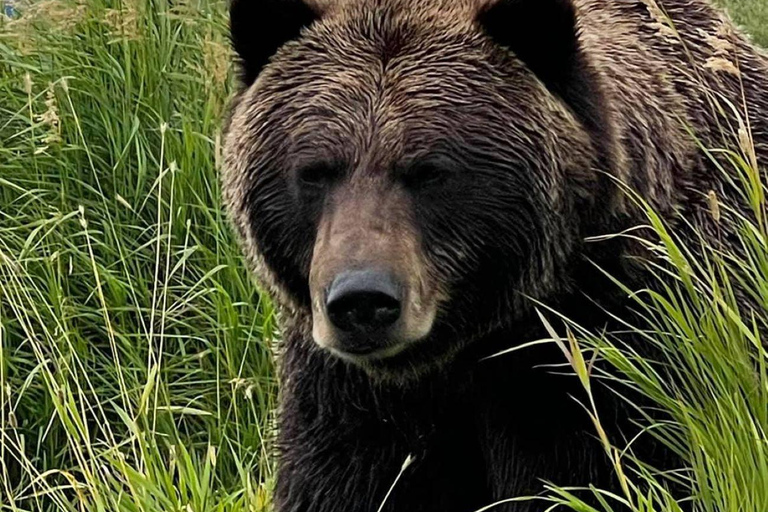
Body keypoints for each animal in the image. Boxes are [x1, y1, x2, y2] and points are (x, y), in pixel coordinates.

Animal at [221, 0, 768, 510]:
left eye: (429, 170)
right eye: (314, 170)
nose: (362, 300)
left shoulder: (617, 357)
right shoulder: (345, 399)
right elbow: (344, 482)